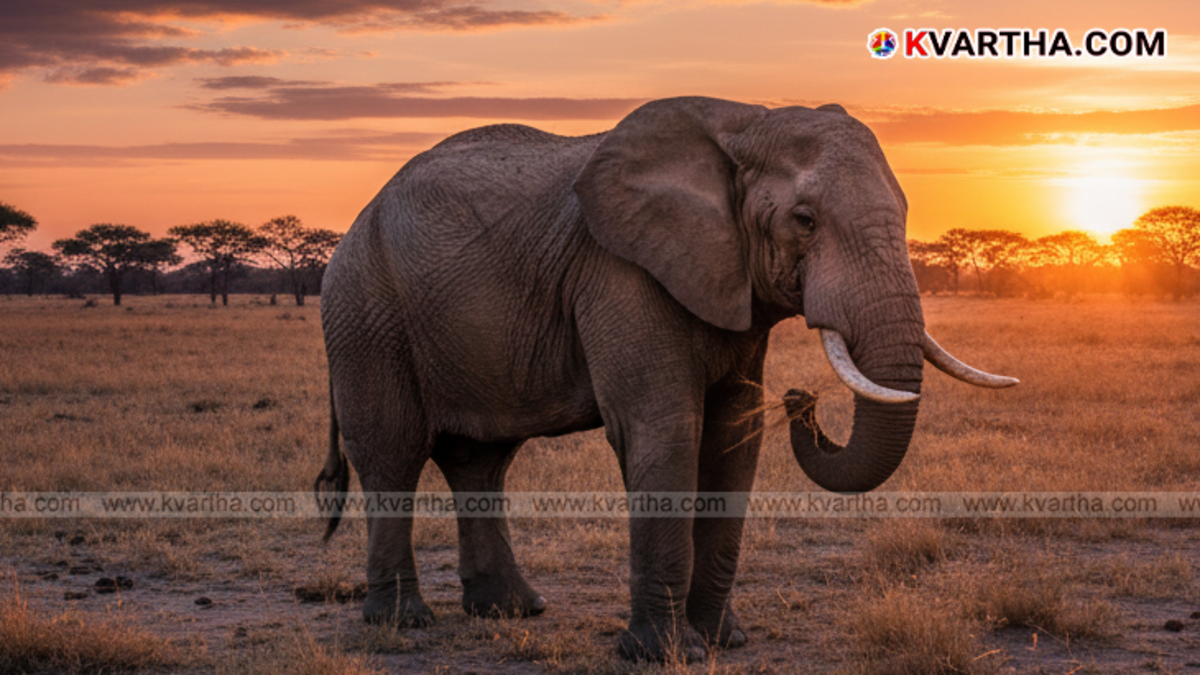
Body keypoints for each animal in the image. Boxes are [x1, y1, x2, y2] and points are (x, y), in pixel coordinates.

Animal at [313, 96, 1016, 661]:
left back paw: (513, 611)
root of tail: (356, 223)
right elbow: (664, 431)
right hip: (365, 310)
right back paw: (402, 623)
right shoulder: (620, 273)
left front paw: (723, 641)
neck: (743, 122)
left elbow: (732, 439)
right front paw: (661, 653)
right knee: (393, 453)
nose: (801, 397)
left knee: (480, 461)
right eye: (805, 220)